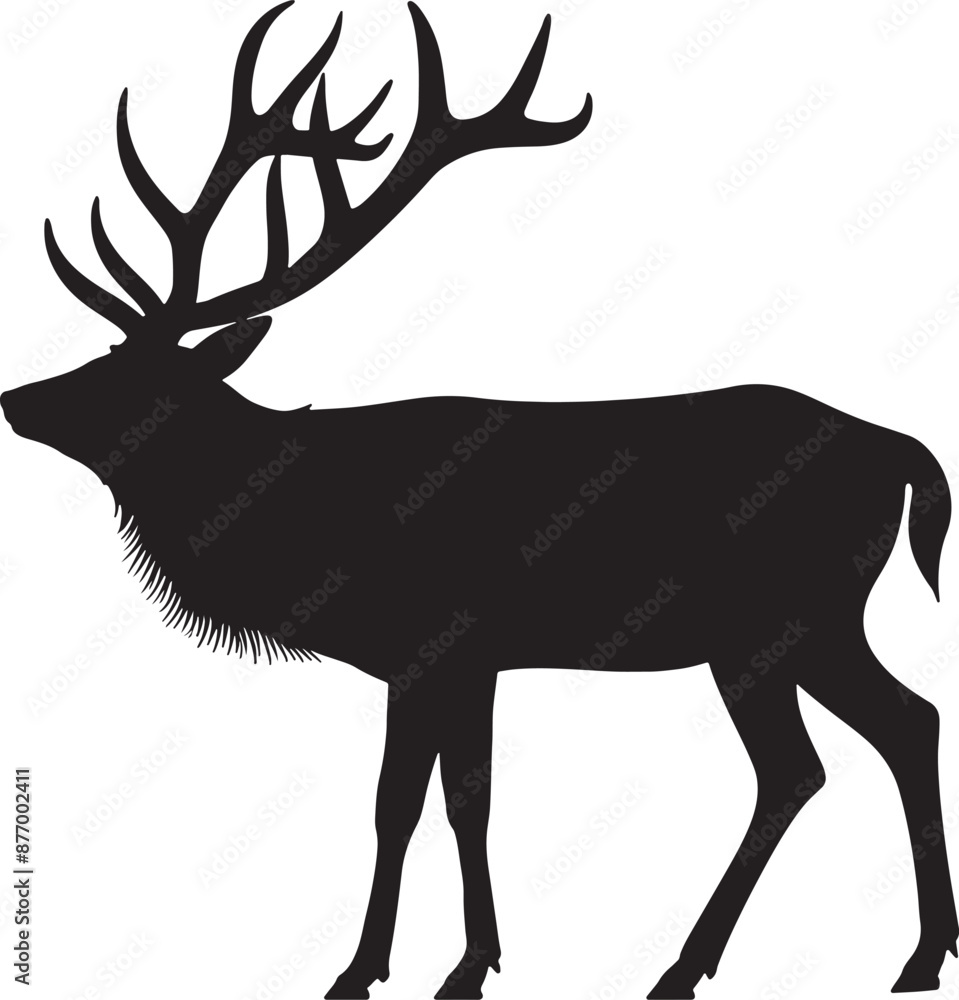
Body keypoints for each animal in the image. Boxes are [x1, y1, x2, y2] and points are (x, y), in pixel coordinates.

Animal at [2, 2, 957, 997]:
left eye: (138, 380)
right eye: (108, 355)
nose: (15, 399)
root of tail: (901, 451)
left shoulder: (441, 644)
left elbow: (434, 803)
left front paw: (421, 967)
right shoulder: (444, 662)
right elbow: (429, 803)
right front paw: (419, 962)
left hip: (770, 624)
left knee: (800, 766)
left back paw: (693, 964)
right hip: (811, 627)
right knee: (904, 723)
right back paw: (917, 954)